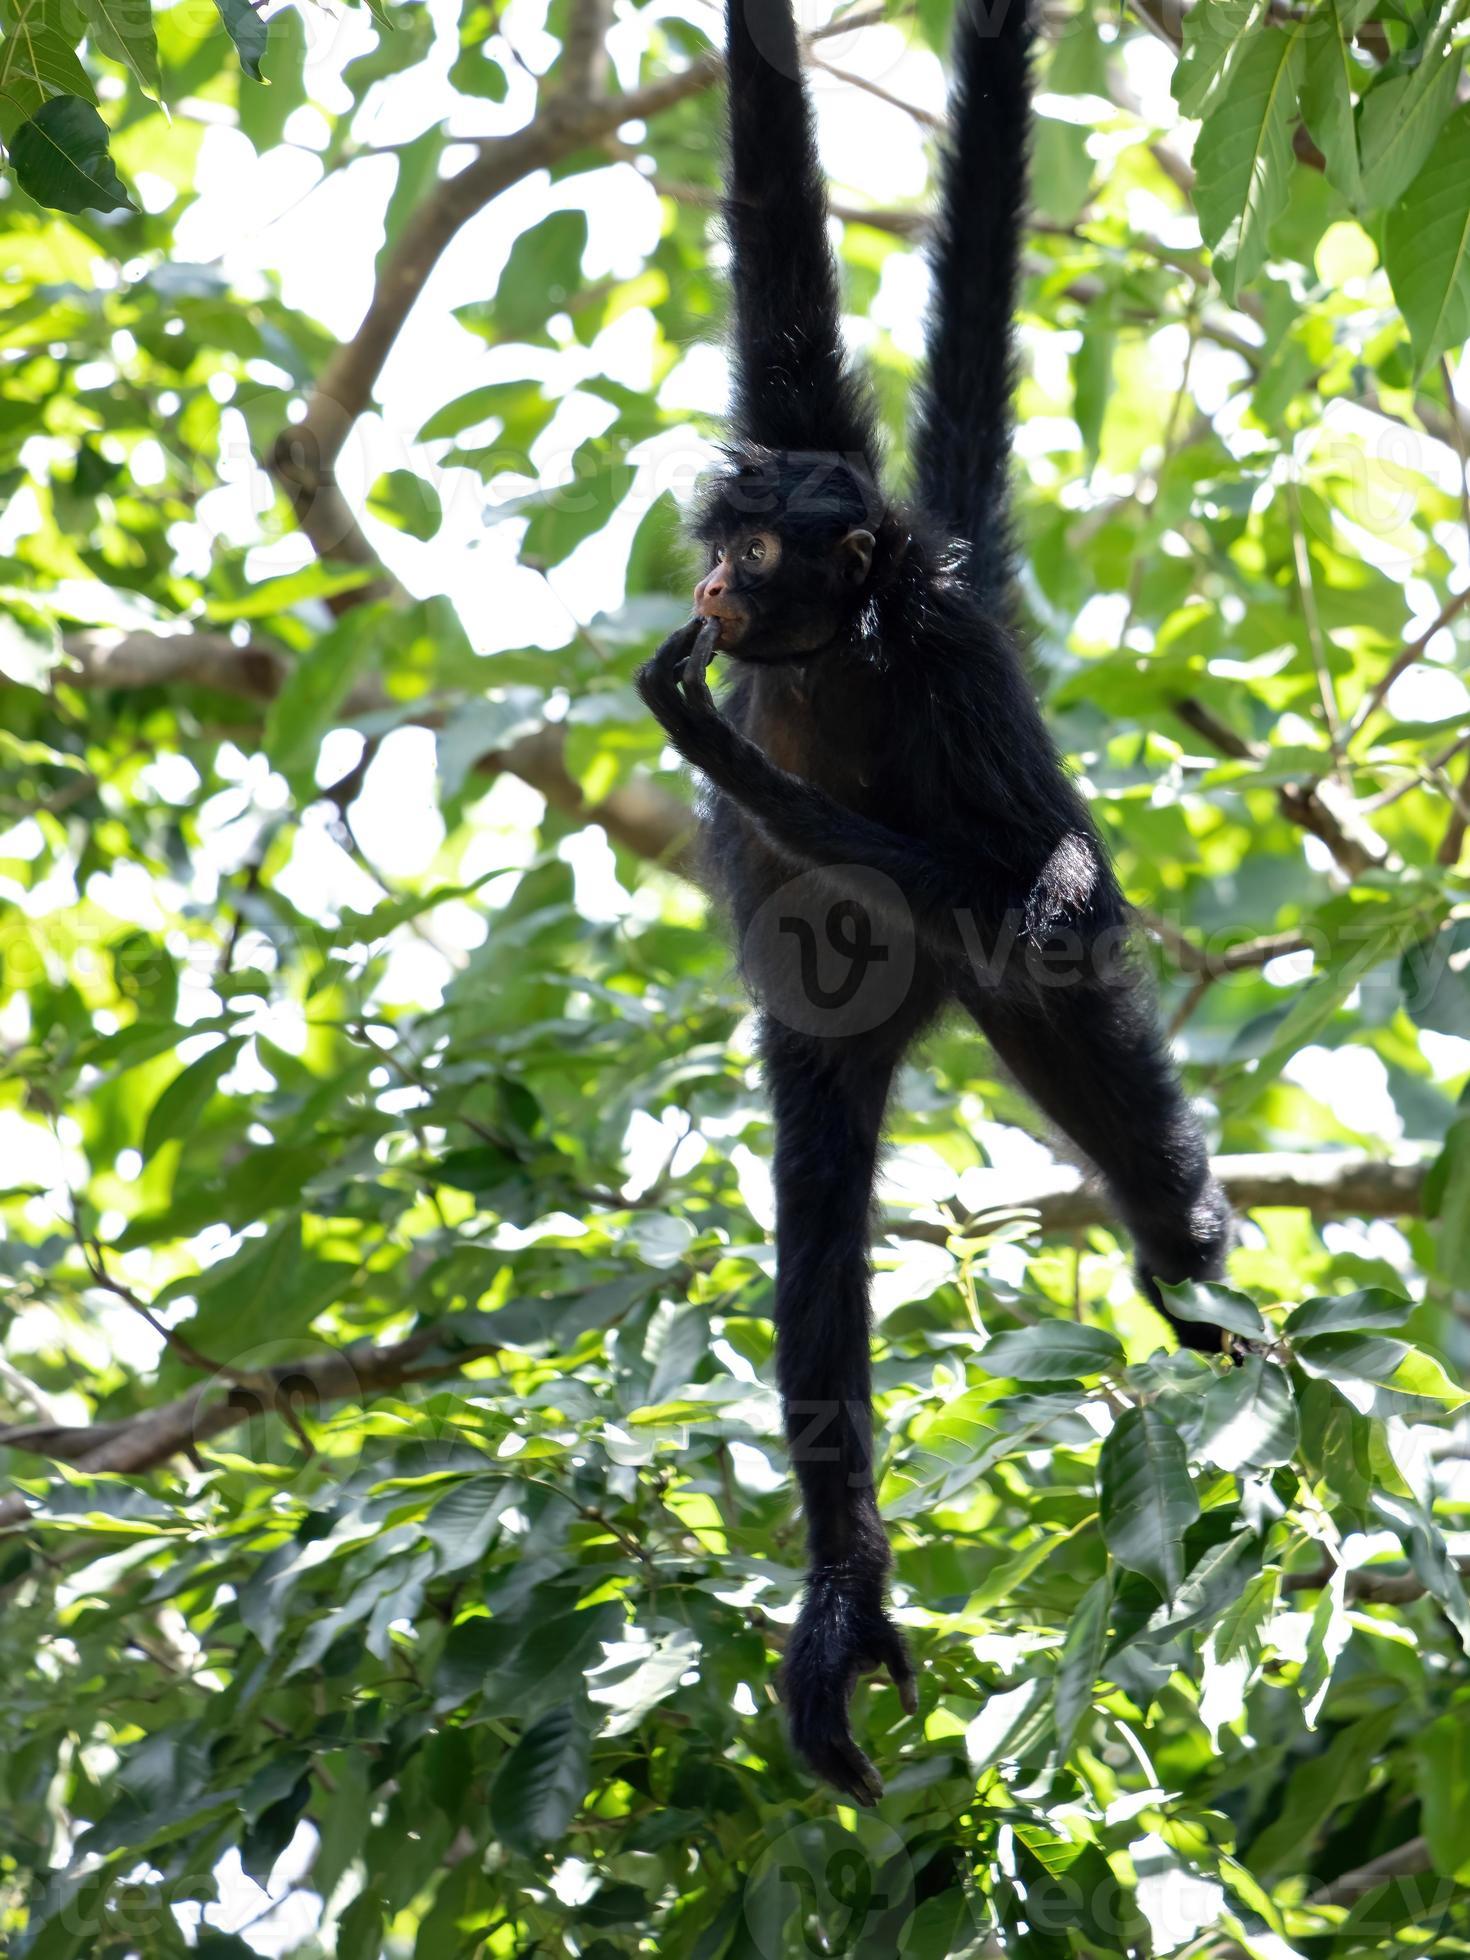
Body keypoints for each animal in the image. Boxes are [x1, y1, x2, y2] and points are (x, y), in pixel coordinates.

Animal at [638, 0, 1238, 1795]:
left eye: (768, 550)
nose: (720, 575)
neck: (841, 649)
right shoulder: (795, 406)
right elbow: (774, 208)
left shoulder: (953, 648)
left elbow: (1064, 893)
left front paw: (716, 742)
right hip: (826, 1062)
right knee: (819, 1256)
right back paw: (845, 1589)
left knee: (1074, 1024)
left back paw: (1190, 1253)